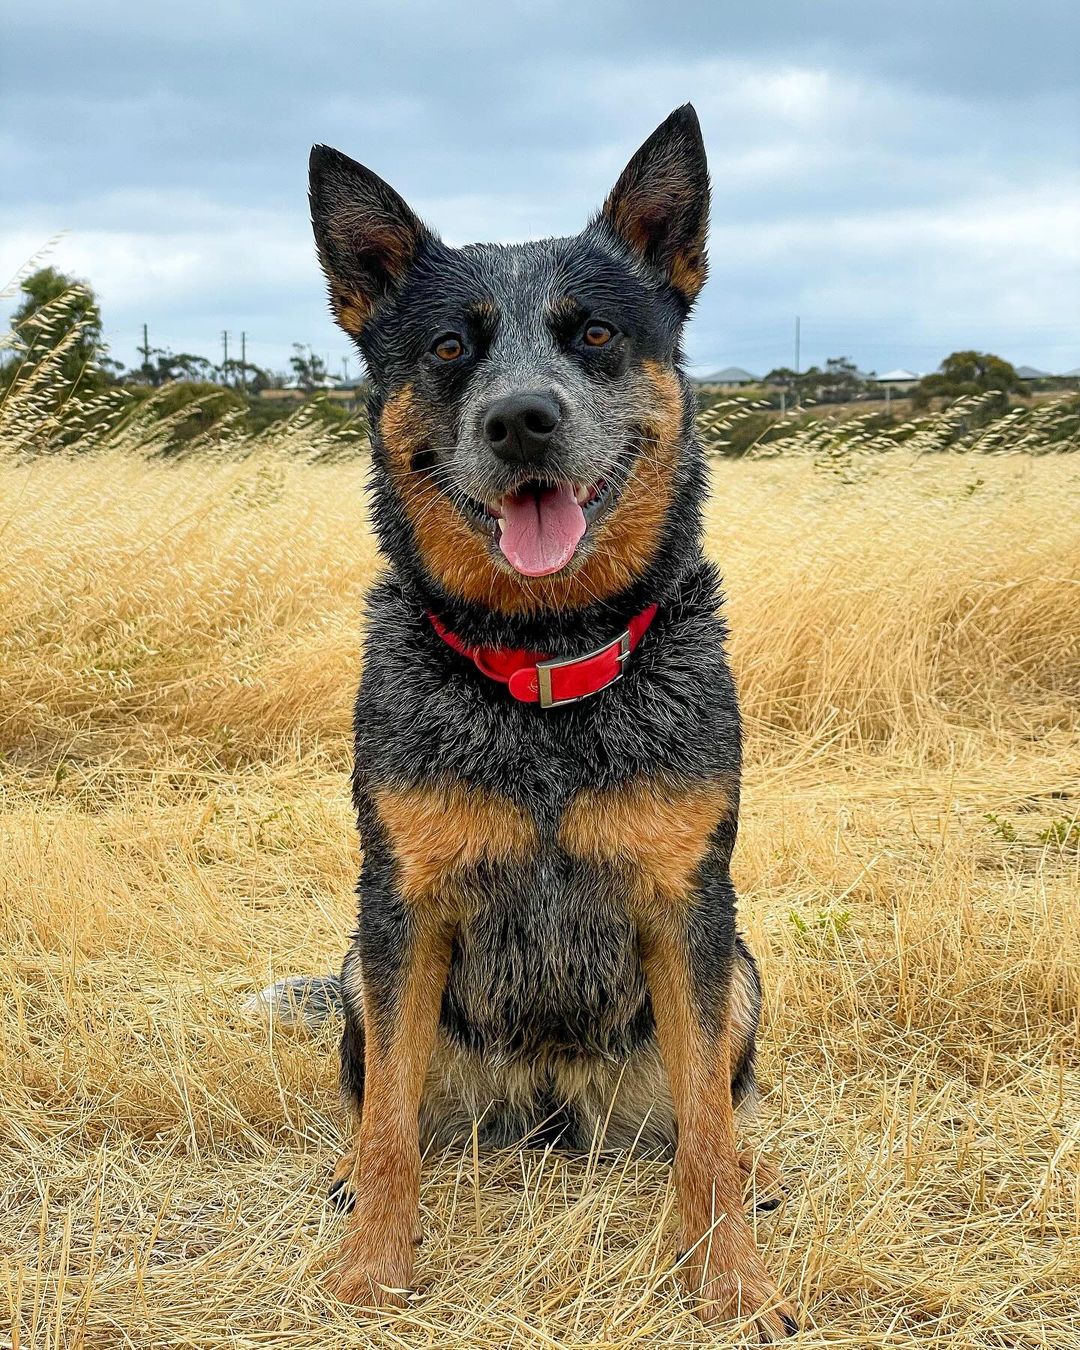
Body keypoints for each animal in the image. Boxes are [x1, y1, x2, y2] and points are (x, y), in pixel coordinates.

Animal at [263, 105, 793, 1339]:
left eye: (593, 333)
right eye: (451, 350)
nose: (521, 418)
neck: (543, 669)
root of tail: (549, 1107)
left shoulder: (690, 905)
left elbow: (706, 1133)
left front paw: (730, 1280)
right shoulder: (398, 907)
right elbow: (391, 1123)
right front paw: (373, 1266)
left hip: (743, 971)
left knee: (714, 1110)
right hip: (357, 972)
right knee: (382, 1101)